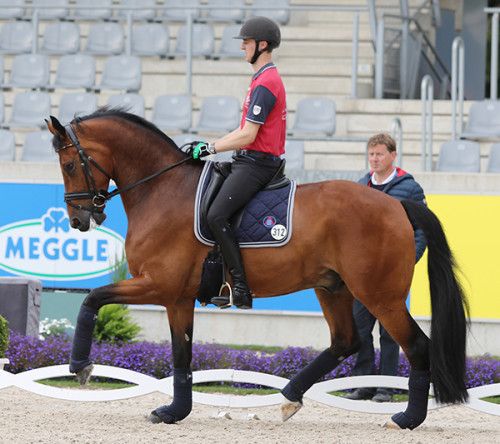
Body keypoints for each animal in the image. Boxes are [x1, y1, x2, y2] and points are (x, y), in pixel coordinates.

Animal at [46, 109, 468, 432]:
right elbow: (182, 355)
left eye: (69, 164)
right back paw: (290, 398)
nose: (78, 221)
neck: (162, 190)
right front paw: (174, 412)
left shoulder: (157, 286)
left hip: (380, 295)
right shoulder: (178, 298)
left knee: (417, 346)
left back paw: (406, 419)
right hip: (333, 288)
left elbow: (93, 299)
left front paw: (81, 366)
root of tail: (395, 204)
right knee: (345, 341)